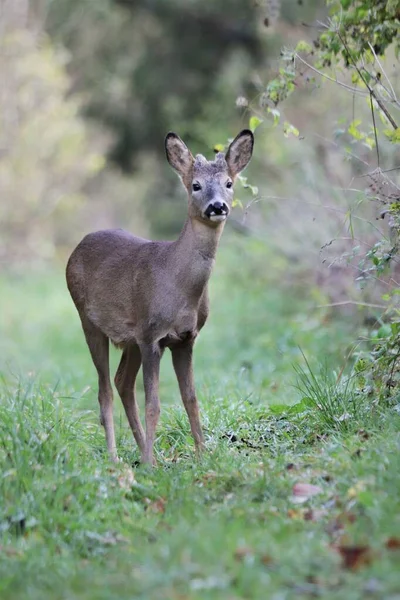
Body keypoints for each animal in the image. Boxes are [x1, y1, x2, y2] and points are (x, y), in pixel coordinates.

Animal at [65, 129, 253, 464]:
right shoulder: (152, 336)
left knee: (122, 382)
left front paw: (202, 455)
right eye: (196, 185)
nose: (217, 206)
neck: (179, 287)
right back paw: (116, 458)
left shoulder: (185, 339)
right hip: (89, 321)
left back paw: (144, 453)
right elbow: (153, 404)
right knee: (105, 389)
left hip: (130, 337)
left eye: (229, 183)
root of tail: (76, 249)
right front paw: (155, 465)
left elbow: (190, 398)